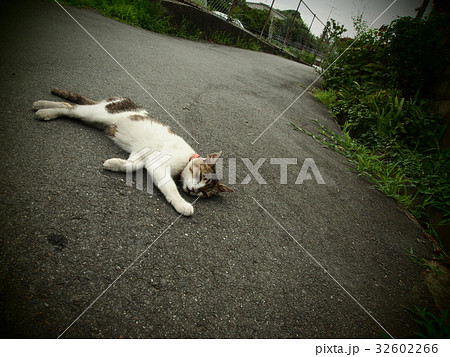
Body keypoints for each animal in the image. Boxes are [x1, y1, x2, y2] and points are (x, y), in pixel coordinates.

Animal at [33, 89, 234, 217]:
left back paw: (41, 105)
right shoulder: (158, 164)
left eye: (204, 193)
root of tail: (120, 99)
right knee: (70, 108)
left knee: (68, 105)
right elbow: (170, 188)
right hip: (97, 114)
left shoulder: (142, 155)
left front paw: (114, 163)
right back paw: (44, 110)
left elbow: (132, 165)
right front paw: (182, 204)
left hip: (96, 120)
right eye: (201, 177)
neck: (185, 160)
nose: (193, 190)